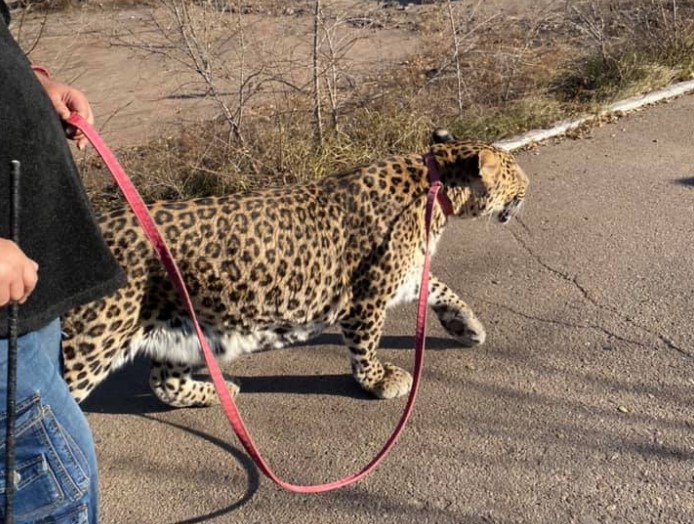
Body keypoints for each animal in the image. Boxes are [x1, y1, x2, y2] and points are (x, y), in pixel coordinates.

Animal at [61, 129, 528, 408]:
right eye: (515, 173)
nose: (529, 187)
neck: (436, 186)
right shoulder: (367, 296)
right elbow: (366, 345)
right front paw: (377, 381)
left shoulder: (404, 276)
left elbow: (441, 288)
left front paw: (467, 326)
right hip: (90, 342)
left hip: (181, 327)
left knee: (164, 382)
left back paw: (214, 390)